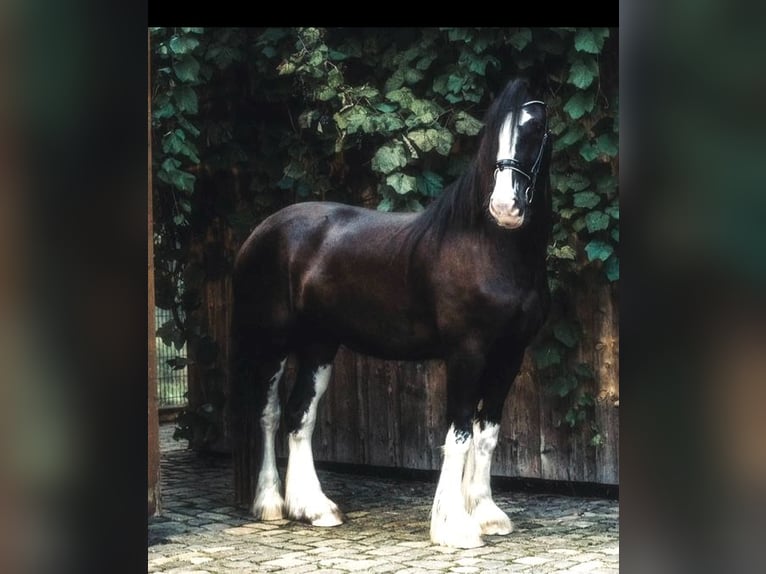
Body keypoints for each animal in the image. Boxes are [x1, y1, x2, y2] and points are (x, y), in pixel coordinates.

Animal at [229, 78, 553, 548]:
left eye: (535, 129)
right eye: (495, 133)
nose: (504, 208)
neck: (489, 248)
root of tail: (260, 232)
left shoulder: (510, 354)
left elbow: (486, 434)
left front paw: (486, 514)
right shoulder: (467, 352)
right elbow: (458, 433)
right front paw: (454, 526)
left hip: (319, 345)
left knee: (299, 415)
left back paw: (314, 509)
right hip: (273, 343)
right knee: (269, 413)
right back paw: (271, 503)